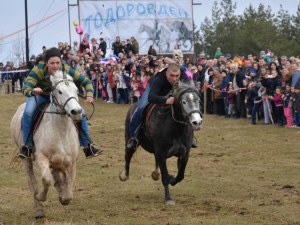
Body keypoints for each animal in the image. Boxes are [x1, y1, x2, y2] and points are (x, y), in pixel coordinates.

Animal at [10, 70, 82, 218]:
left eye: (77, 90)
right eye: (60, 91)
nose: (77, 112)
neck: (60, 131)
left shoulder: (71, 162)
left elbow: (68, 190)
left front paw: (63, 196)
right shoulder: (41, 157)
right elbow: (46, 180)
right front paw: (40, 196)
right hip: (26, 159)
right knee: (32, 181)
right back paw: (38, 210)